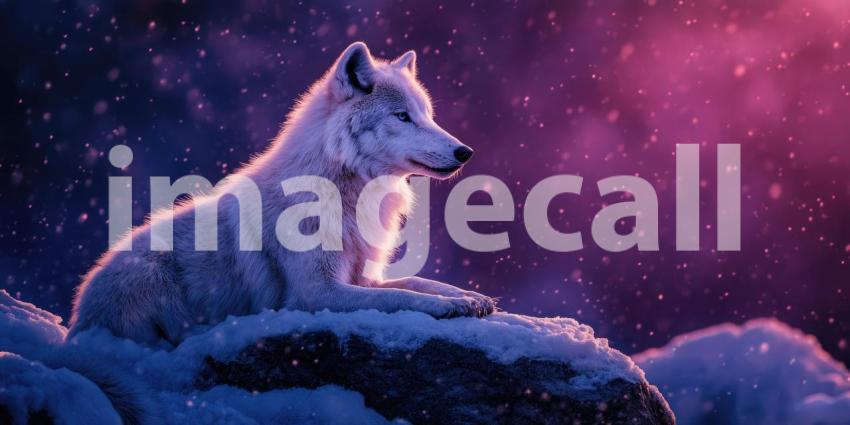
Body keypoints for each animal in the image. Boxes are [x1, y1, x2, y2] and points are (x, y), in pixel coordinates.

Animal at [68, 42, 496, 351]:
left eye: (427, 115)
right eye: (402, 116)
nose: (465, 152)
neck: (341, 189)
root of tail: (76, 322)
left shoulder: (361, 276)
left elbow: (416, 282)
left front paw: (467, 297)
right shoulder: (315, 293)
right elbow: (402, 299)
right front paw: (446, 306)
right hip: (149, 274)